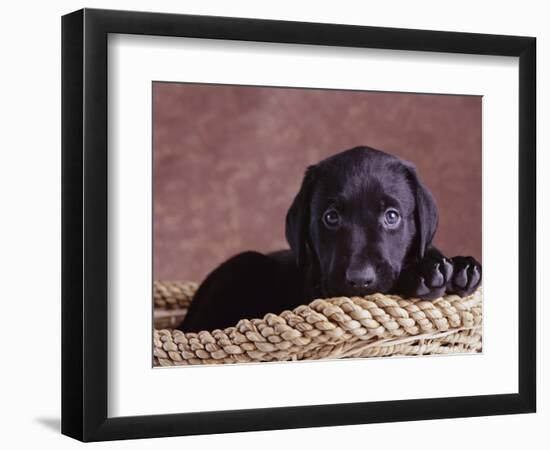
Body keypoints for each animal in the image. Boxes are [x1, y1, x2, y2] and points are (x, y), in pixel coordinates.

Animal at [180, 146, 484, 332]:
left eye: (392, 216)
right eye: (331, 217)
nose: (360, 280)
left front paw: (457, 267)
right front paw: (425, 273)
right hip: (243, 263)